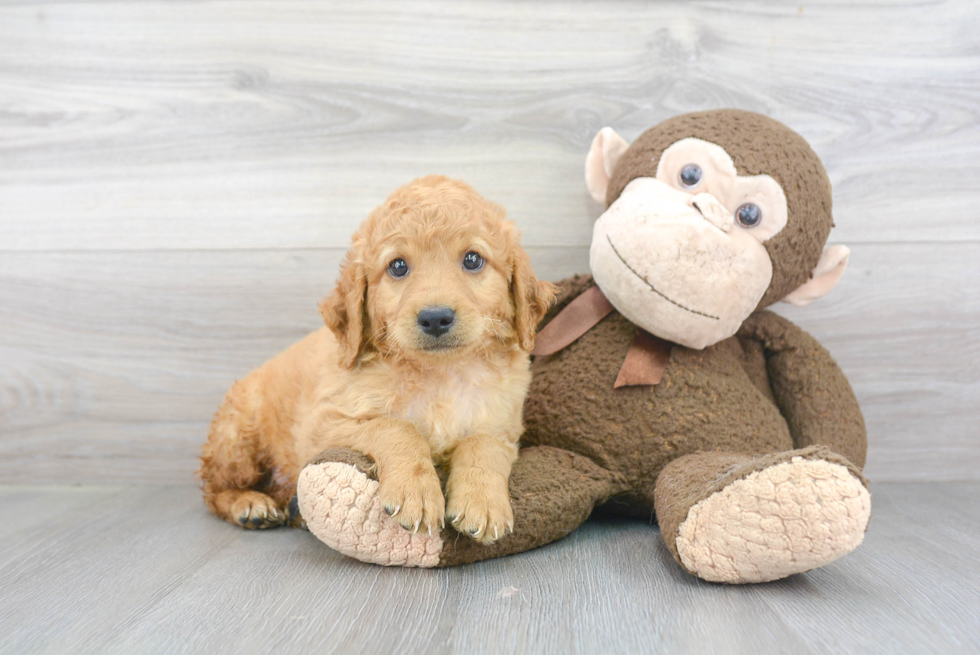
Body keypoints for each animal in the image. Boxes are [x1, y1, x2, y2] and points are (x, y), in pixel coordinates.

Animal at [195, 177, 556, 544]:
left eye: (473, 259)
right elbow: (396, 427)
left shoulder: (503, 427)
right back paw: (250, 505)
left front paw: (483, 502)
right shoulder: (322, 424)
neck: (439, 373)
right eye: (397, 266)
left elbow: (482, 443)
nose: (435, 318)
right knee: (212, 489)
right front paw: (417, 493)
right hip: (237, 437)